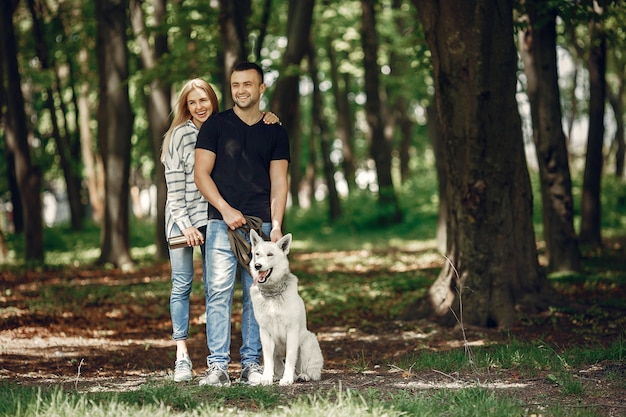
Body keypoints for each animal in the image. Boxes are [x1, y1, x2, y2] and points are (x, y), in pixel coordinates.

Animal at [246, 229, 322, 386]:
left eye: (270, 254)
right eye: (257, 254)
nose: (257, 266)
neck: (272, 293)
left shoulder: (291, 330)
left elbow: (291, 358)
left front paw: (287, 379)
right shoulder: (265, 332)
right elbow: (269, 360)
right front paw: (267, 378)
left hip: (307, 341)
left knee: (303, 368)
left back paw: (301, 376)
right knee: (278, 363)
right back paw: (276, 376)